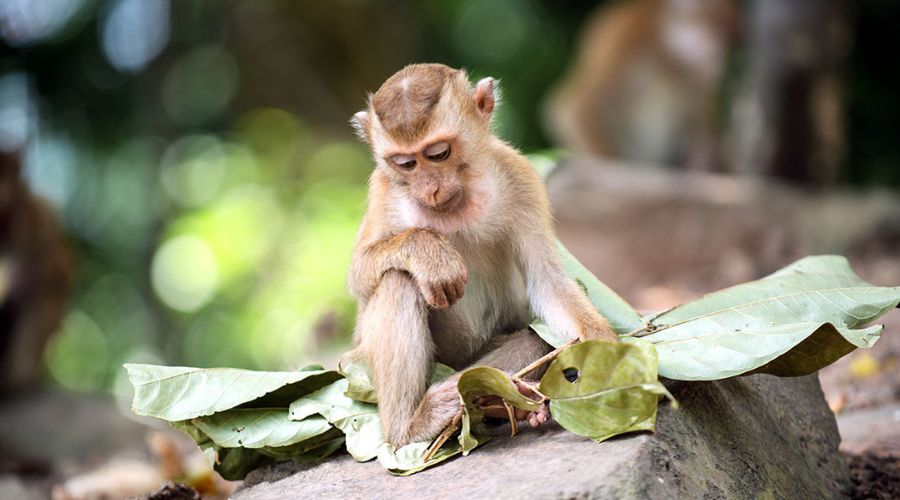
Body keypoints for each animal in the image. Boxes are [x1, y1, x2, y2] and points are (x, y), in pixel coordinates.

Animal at [346, 64, 617, 447]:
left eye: (438, 153)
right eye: (405, 163)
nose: (429, 188)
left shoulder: (519, 175)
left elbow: (547, 282)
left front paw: (605, 354)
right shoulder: (385, 188)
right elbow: (360, 275)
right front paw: (431, 255)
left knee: (535, 337)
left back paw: (501, 403)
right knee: (399, 279)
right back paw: (413, 424)